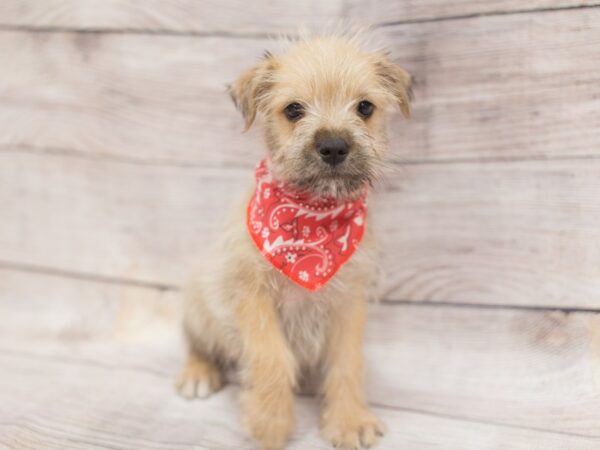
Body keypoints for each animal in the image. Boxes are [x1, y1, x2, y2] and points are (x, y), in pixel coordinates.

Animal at [177, 32, 412, 450]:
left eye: (365, 107)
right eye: (293, 110)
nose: (333, 146)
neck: (313, 218)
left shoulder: (348, 299)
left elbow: (347, 362)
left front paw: (349, 420)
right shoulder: (249, 293)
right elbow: (271, 358)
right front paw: (270, 424)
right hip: (199, 301)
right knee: (196, 341)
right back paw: (198, 373)